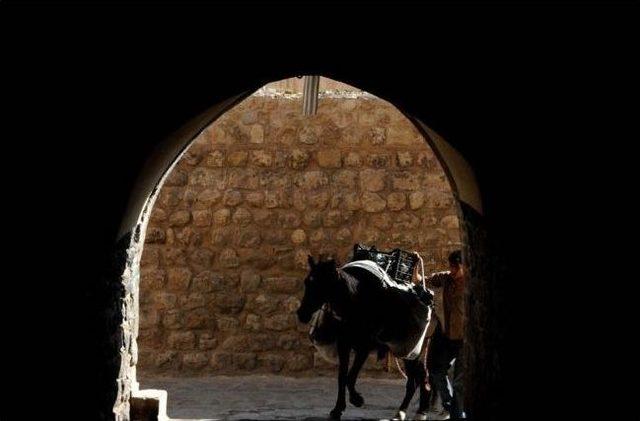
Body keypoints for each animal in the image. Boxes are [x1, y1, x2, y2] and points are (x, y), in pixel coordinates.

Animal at [298, 254, 432, 418]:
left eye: (322, 284)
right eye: (307, 282)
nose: (301, 314)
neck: (355, 301)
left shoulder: (364, 348)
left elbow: (350, 376)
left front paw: (357, 399)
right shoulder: (344, 345)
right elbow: (342, 376)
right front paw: (338, 409)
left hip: (411, 351)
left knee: (418, 378)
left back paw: (413, 412)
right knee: (417, 377)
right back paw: (409, 411)